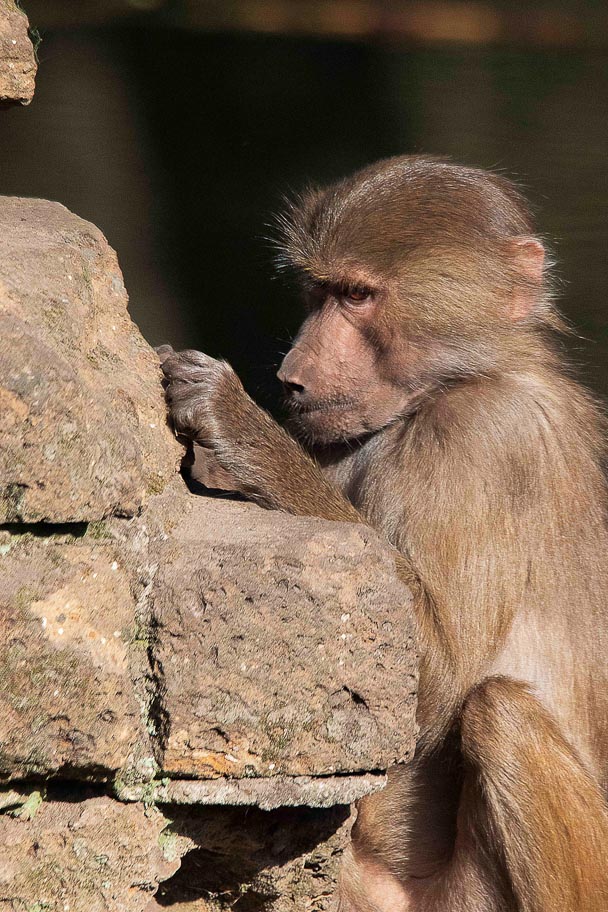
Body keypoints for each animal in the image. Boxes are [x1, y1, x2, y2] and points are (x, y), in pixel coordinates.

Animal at [158, 155, 608, 912]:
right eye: (320, 290)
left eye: (359, 295)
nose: (291, 376)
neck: (456, 381)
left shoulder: (483, 437)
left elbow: (432, 676)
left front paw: (238, 427)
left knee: (500, 713)